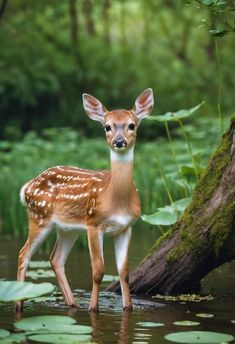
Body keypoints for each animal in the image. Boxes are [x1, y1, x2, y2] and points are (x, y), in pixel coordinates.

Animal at [15, 88, 154, 312]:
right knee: (23, 254)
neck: (115, 199)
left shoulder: (125, 228)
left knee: (55, 259)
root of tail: (27, 186)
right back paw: (19, 305)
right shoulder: (93, 223)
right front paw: (93, 308)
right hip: (39, 215)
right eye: (107, 127)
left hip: (67, 228)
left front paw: (128, 308)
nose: (119, 141)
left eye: (132, 125)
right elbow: (98, 271)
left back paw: (72, 304)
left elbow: (124, 272)